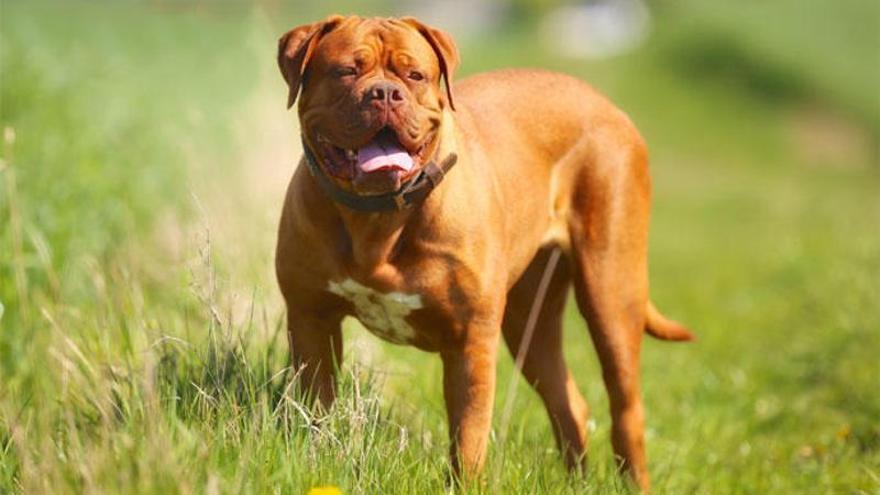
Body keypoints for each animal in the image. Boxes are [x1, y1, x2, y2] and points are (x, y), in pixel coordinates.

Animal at [276, 15, 696, 492]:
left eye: (414, 75)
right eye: (347, 70)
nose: (385, 93)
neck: (377, 218)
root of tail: (606, 103)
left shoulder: (470, 341)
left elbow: (468, 436)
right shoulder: (311, 319)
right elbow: (315, 409)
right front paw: (313, 458)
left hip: (611, 292)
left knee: (626, 409)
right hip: (529, 320)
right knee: (568, 400)